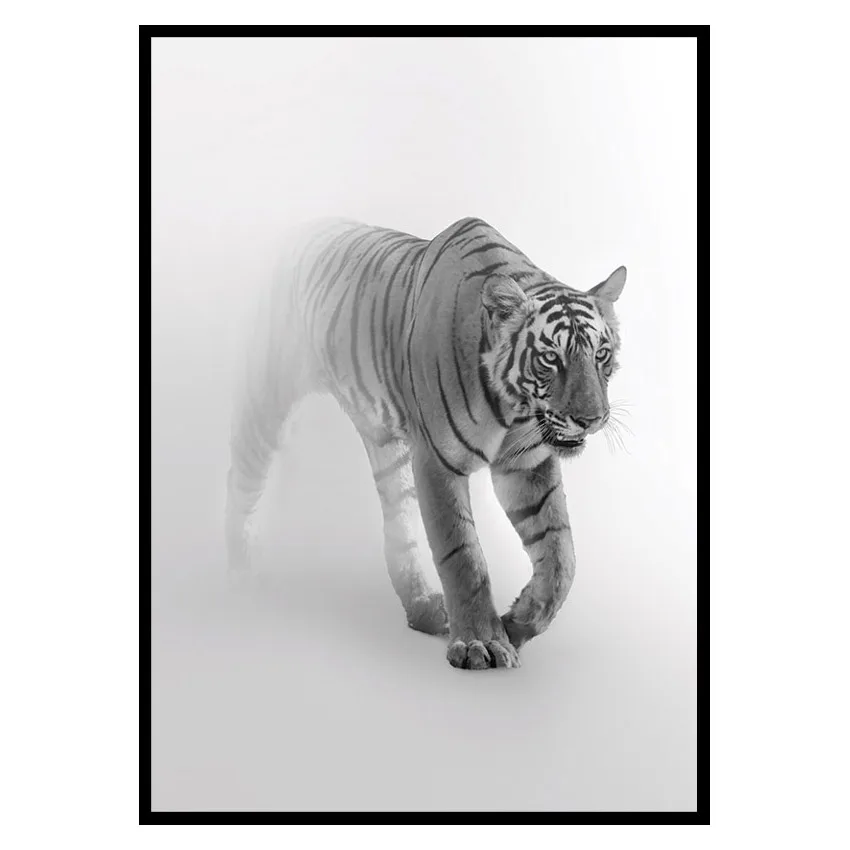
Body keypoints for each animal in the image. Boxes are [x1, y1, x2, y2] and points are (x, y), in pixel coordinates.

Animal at [225, 216, 627, 670]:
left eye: (601, 355)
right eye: (550, 359)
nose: (591, 419)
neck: (513, 409)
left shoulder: (525, 464)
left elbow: (561, 555)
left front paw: (519, 622)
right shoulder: (437, 460)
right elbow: (463, 555)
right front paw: (481, 642)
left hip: (388, 448)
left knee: (399, 528)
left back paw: (422, 609)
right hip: (268, 392)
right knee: (242, 477)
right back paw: (238, 572)